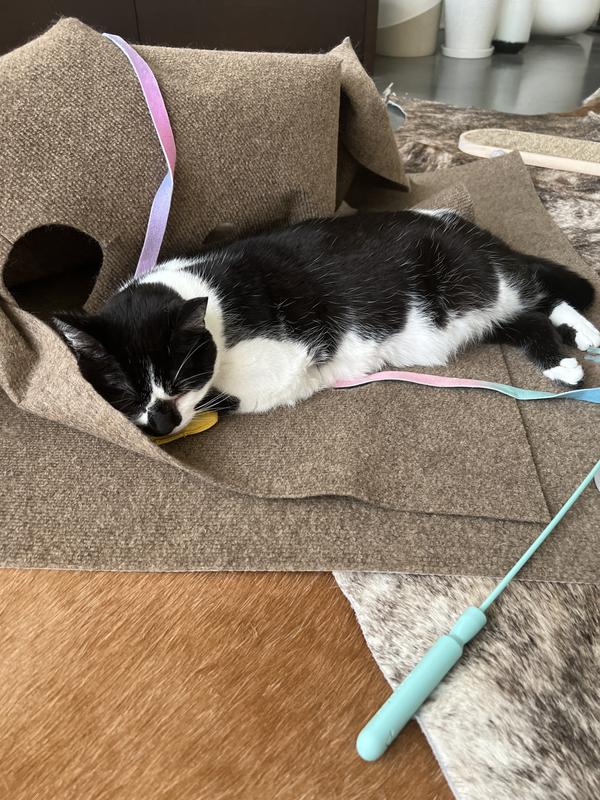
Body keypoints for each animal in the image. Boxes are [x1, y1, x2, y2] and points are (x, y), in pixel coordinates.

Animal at [52, 210, 599, 437]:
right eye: (124, 388)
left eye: (179, 378)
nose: (163, 423)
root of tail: (464, 226)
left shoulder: (284, 363)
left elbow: (231, 394)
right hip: (477, 315)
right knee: (529, 316)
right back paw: (569, 353)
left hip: (474, 286)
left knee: (539, 289)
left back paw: (579, 346)